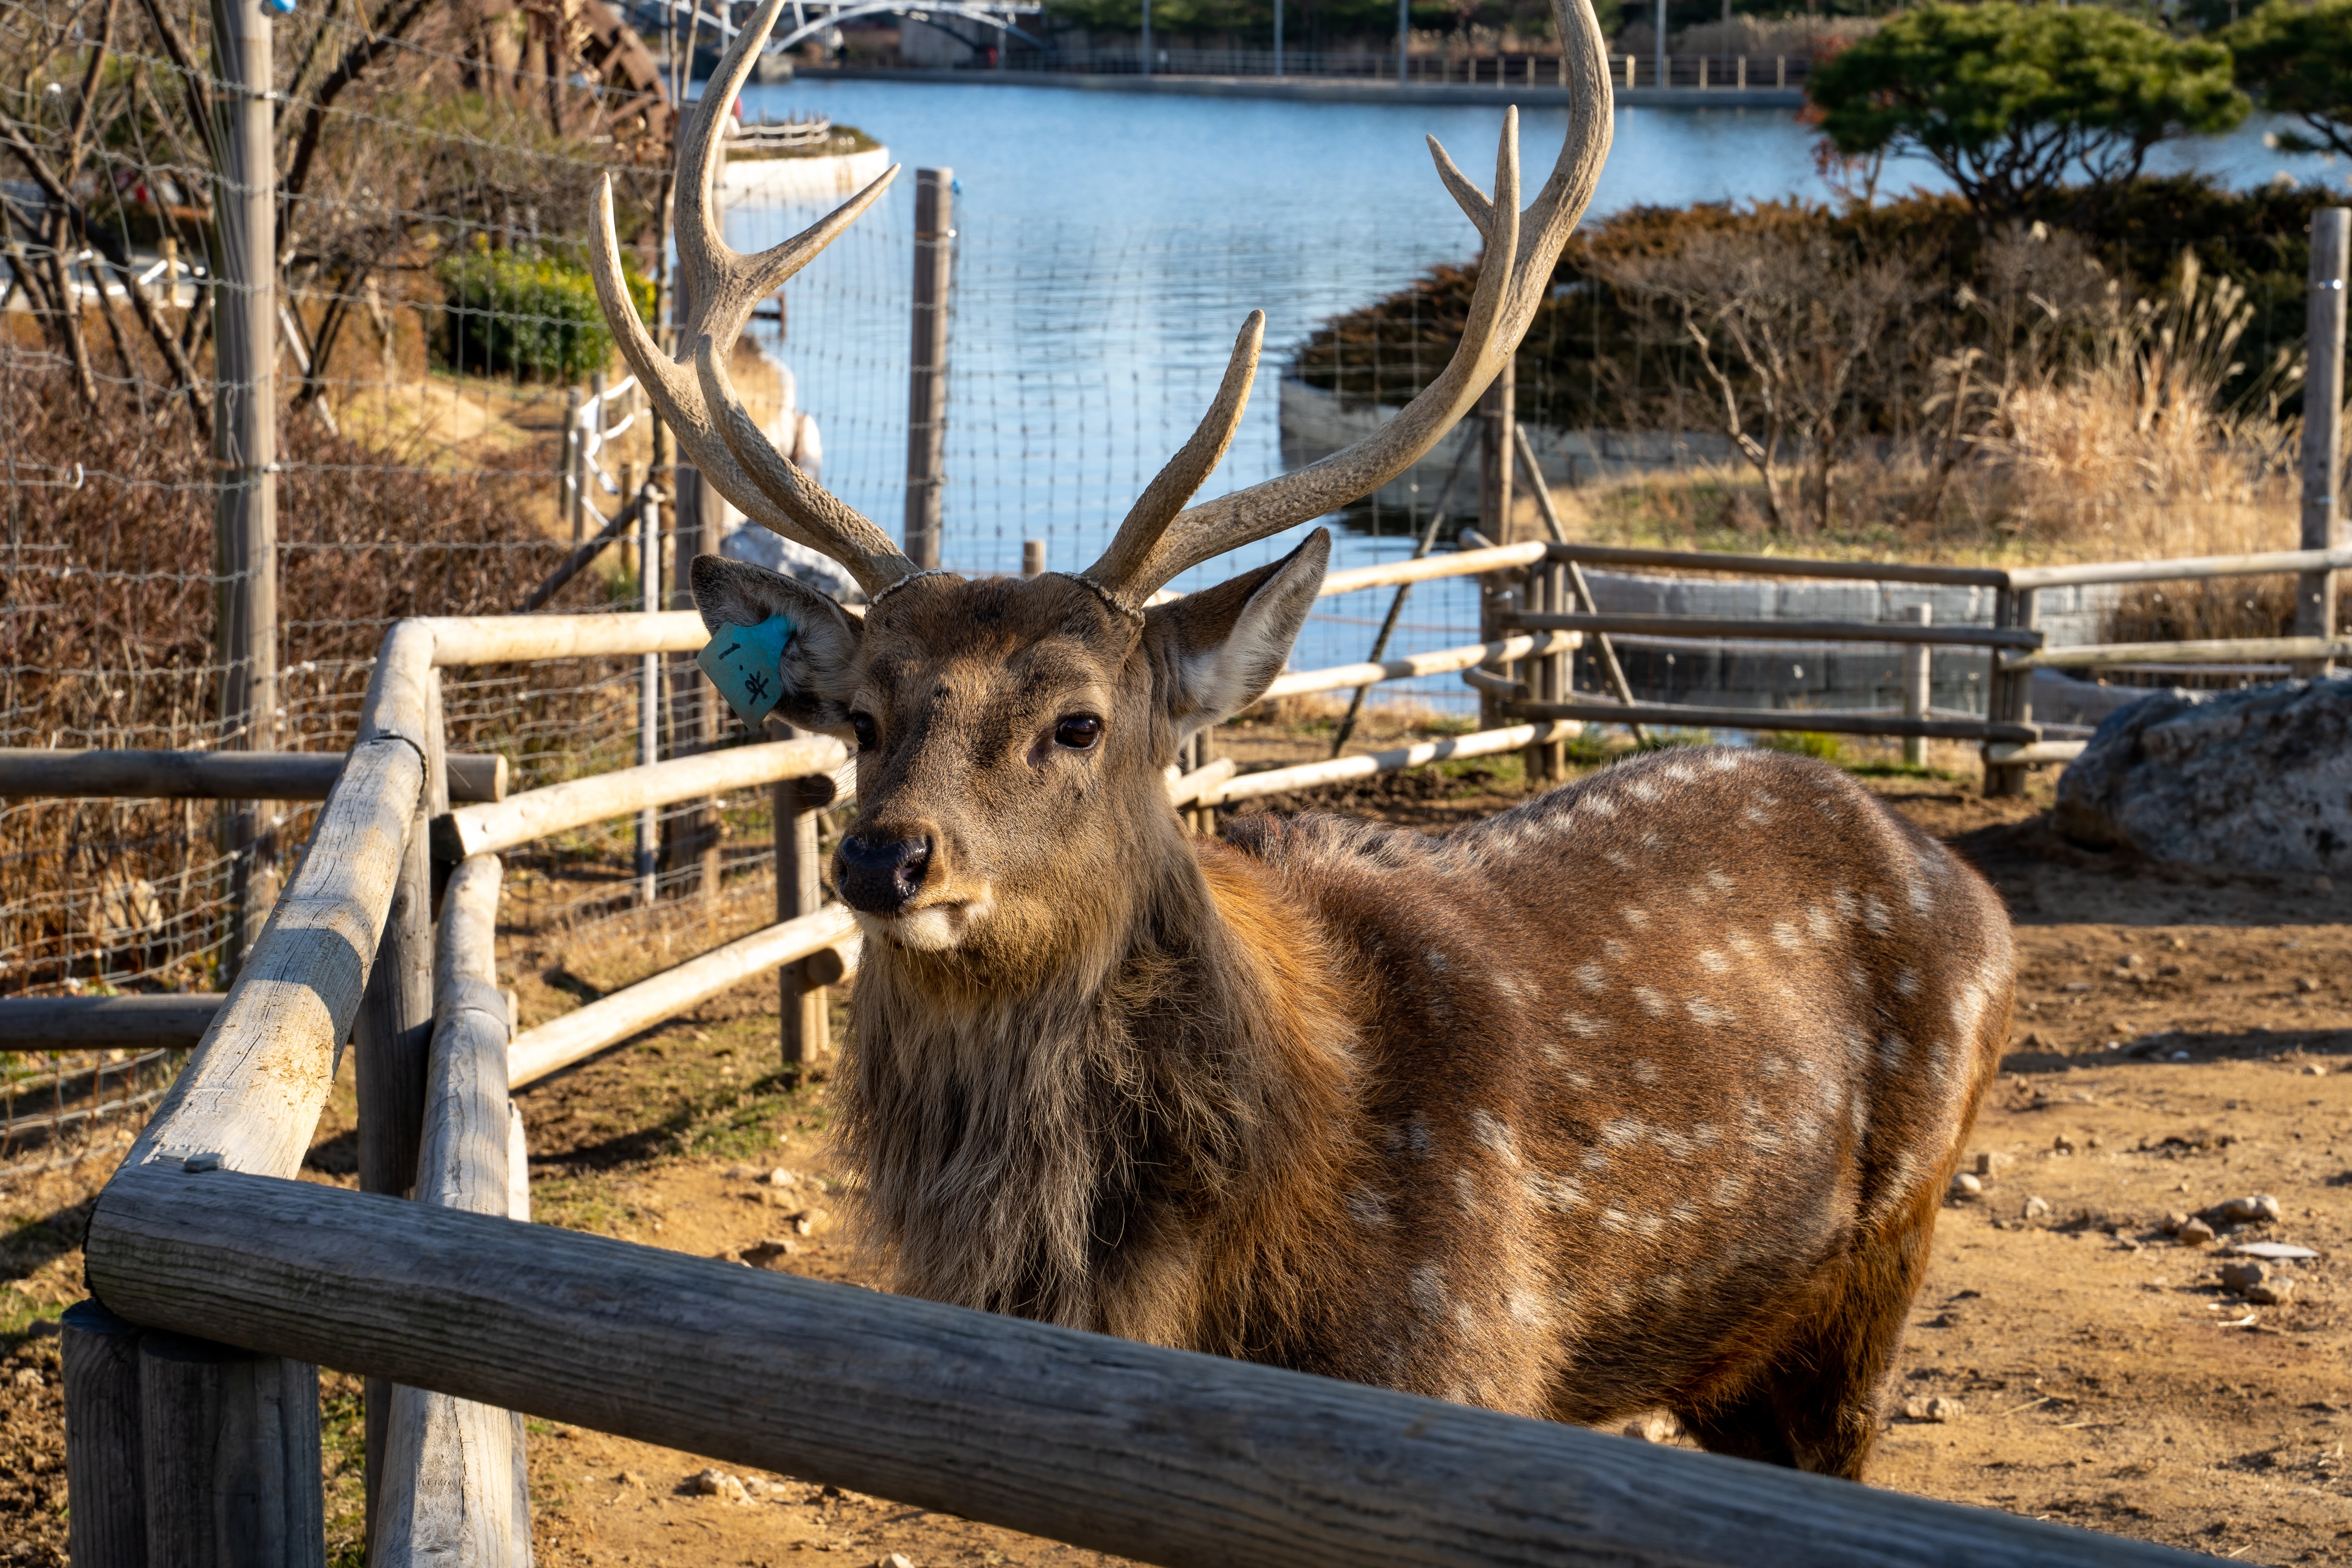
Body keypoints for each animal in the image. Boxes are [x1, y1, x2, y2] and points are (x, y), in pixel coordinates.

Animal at [589, 0, 2014, 1481]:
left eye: (1078, 720)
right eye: (862, 718)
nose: (885, 859)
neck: (1209, 1279)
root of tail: (1965, 882)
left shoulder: (1462, 1348)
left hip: (1878, 1266)